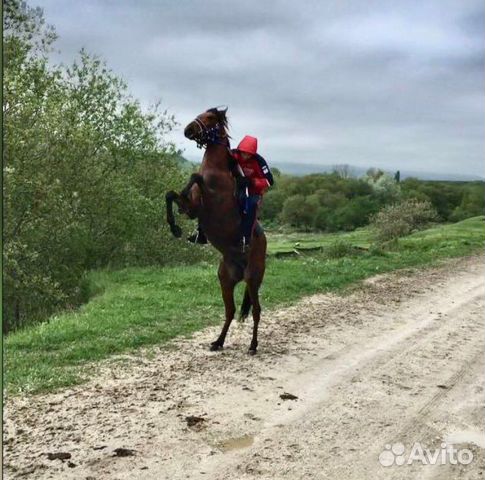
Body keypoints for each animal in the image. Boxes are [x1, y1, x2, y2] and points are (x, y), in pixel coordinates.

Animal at [164, 106, 266, 352]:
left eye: (210, 117)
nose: (188, 129)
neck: (216, 170)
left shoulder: (208, 202)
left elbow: (195, 176)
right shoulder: (192, 209)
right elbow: (171, 195)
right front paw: (175, 228)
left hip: (253, 278)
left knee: (256, 311)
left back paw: (253, 346)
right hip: (225, 280)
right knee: (230, 311)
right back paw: (218, 342)